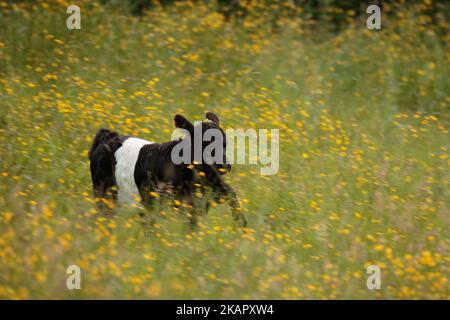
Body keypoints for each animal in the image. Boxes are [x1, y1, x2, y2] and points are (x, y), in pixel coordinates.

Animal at [89, 112, 246, 228]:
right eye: (204, 144)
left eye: (224, 143)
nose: (225, 166)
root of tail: (108, 135)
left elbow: (232, 195)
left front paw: (242, 227)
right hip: (104, 194)